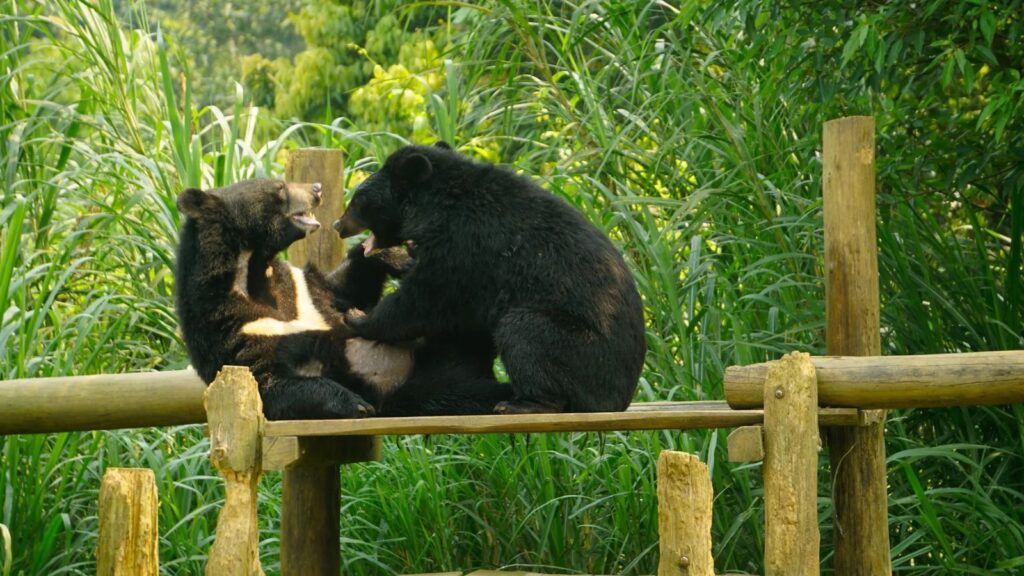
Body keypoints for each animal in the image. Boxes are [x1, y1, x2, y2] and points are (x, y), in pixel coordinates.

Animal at [175, 178, 510, 420]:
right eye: (279, 187)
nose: (316, 188)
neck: (254, 271)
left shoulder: (302, 289)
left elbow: (344, 289)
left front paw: (399, 258)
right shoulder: (234, 328)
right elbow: (269, 384)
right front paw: (355, 403)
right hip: (428, 387)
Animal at [333, 143, 647, 414]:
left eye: (358, 201)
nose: (337, 225)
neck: (436, 203)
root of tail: (620, 399)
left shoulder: (462, 244)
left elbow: (426, 299)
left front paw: (360, 316)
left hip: (579, 350)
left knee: (524, 331)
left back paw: (524, 403)